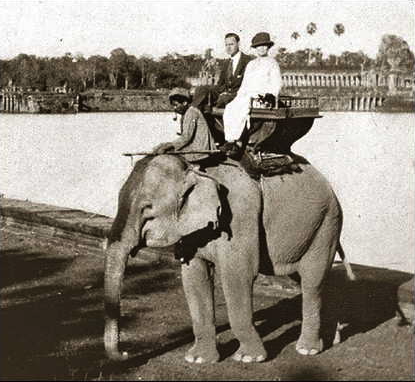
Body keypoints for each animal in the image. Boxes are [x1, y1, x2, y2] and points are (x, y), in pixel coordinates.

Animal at [104, 153, 354, 364]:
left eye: (147, 209)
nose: (126, 353)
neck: (195, 168)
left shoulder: (239, 217)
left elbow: (237, 276)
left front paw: (248, 358)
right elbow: (194, 277)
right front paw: (198, 359)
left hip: (326, 225)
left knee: (311, 280)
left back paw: (307, 349)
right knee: (305, 279)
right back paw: (334, 338)